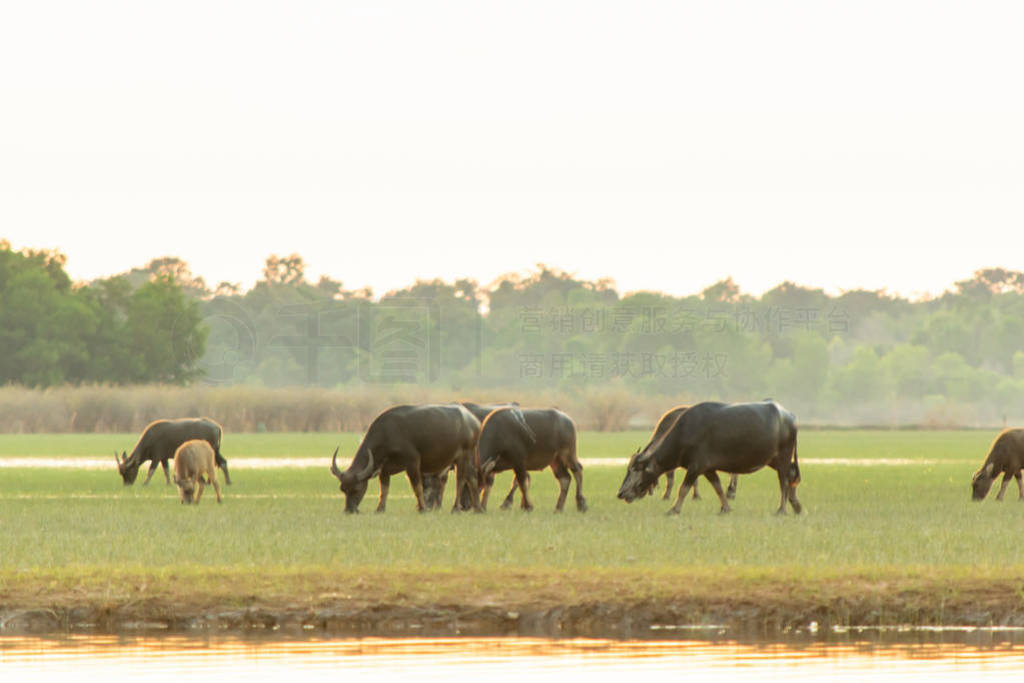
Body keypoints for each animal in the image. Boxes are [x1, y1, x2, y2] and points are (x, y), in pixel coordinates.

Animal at [331, 401, 483, 511]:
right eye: (342, 489)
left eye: (357, 489)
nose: (349, 510)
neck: (387, 434)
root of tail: (473, 421)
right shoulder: (384, 470)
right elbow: (384, 490)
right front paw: (380, 509)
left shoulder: (413, 463)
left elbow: (417, 487)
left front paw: (422, 509)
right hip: (466, 458)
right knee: (472, 477)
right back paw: (477, 508)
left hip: (463, 456)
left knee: (461, 480)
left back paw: (456, 508)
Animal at [614, 401, 798, 511]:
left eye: (635, 470)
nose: (621, 493)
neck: (685, 433)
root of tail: (791, 416)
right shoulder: (707, 469)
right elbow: (717, 487)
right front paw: (725, 508)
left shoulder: (696, 466)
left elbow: (683, 487)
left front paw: (673, 509)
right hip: (774, 460)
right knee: (792, 475)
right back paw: (796, 505)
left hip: (783, 457)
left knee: (784, 480)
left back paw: (781, 509)